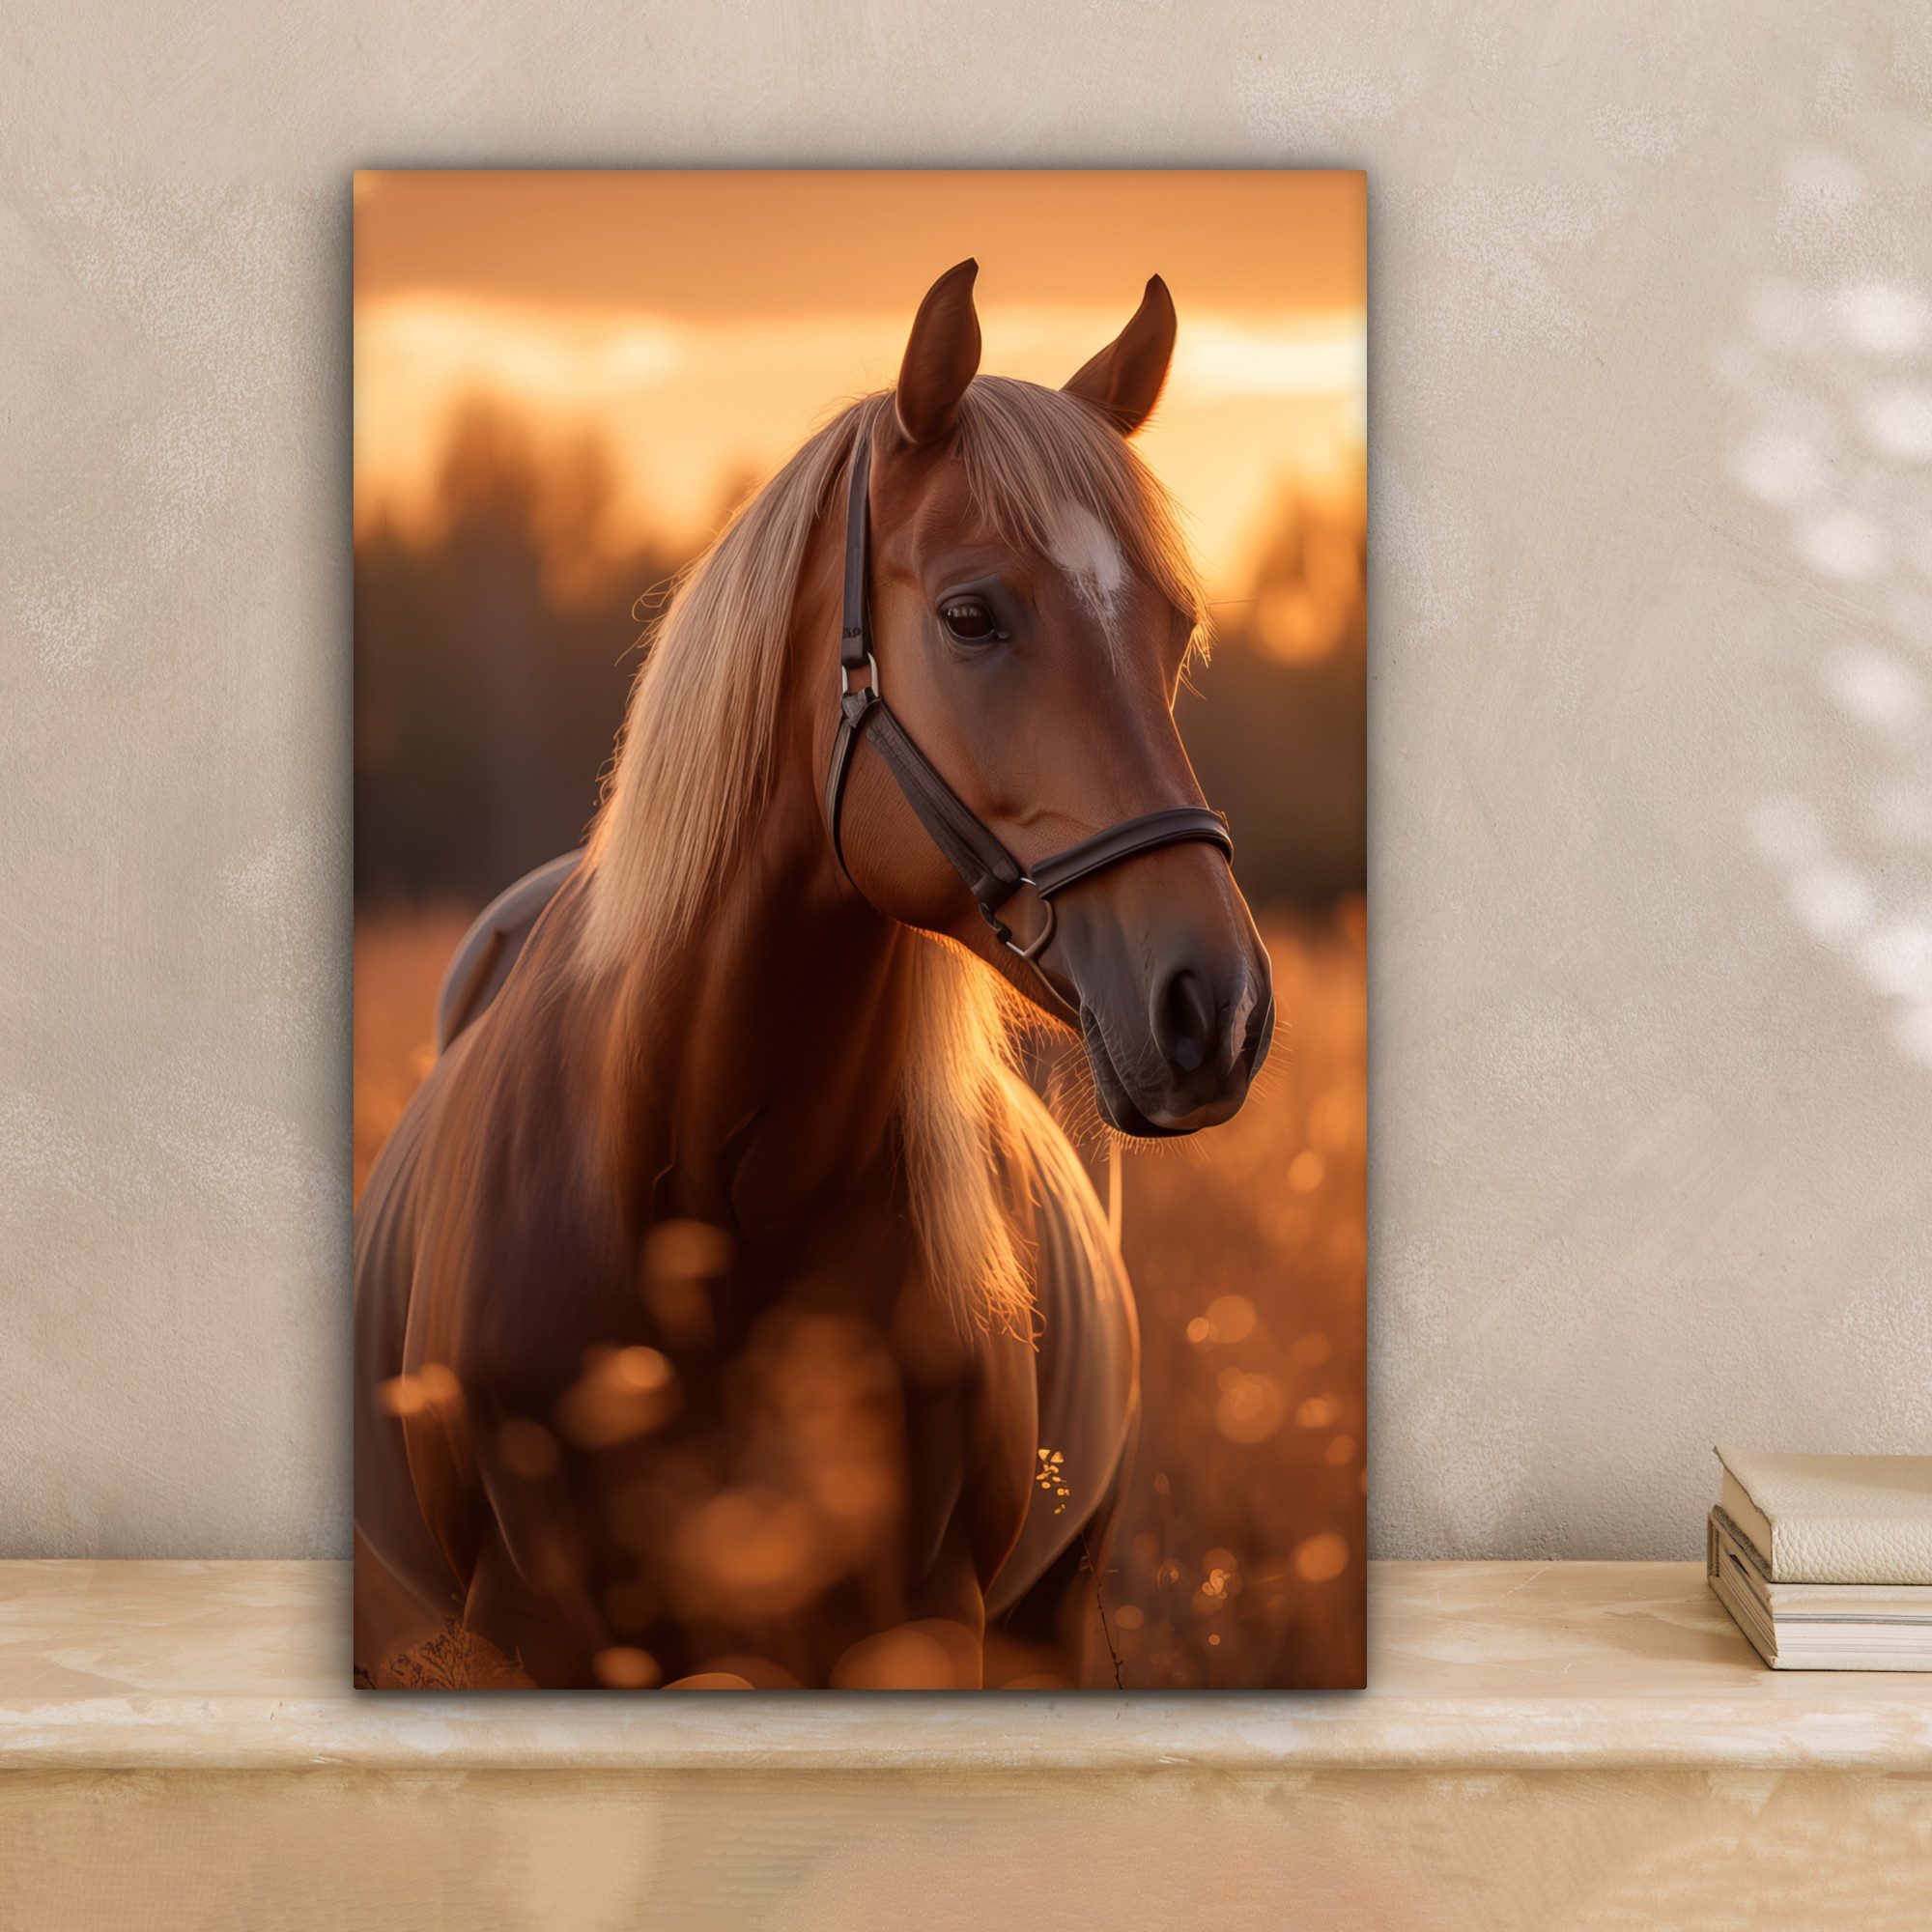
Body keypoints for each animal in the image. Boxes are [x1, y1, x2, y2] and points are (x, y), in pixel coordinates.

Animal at [353, 260, 1275, 1690]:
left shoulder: (920, 1631)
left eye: (1173, 630)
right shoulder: (536, 1636)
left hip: (1055, 1617)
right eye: (970, 615)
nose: (1214, 1010)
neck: (706, 1189)